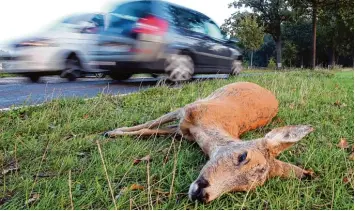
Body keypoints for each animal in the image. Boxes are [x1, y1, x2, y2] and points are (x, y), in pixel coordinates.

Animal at [103, 81, 314, 202]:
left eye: (244, 188)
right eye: (242, 156)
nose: (202, 195)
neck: (204, 127)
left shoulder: (183, 130)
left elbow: (151, 130)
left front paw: (114, 132)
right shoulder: (185, 109)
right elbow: (150, 124)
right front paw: (112, 132)